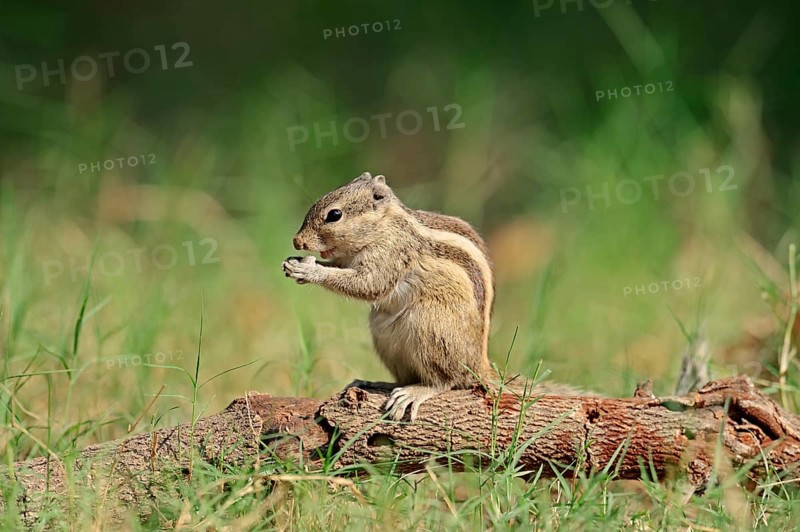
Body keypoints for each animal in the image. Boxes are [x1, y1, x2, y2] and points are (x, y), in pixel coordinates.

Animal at [282, 172, 495, 421]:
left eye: (334, 215)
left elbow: (368, 284)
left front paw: (309, 270)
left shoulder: (391, 254)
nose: (297, 241)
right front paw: (296, 262)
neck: (384, 226)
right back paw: (376, 384)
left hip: (429, 327)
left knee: (446, 380)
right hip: (385, 337)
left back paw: (414, 392)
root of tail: (478, 365)